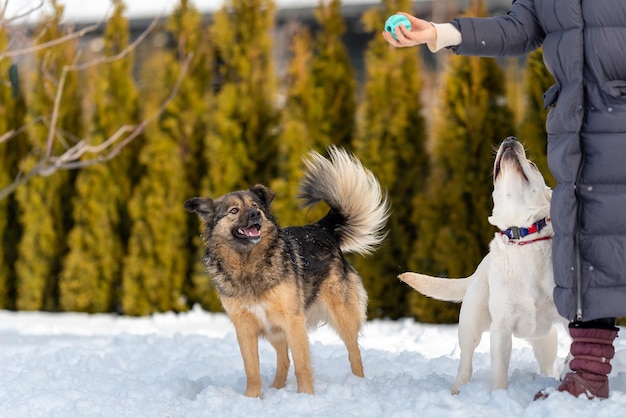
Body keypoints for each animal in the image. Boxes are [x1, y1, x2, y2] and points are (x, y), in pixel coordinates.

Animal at [183, 147, 388, 398]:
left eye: (255, 206)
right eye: (234, 211)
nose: (256, 216)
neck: (248, 263)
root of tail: (321, 228)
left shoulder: (293, 321)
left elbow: (302, 365)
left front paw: (306, 397)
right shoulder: (245, 328)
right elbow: (253, 370)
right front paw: (252, 398)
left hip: (341, 315)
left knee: (354, 352)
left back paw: (358, 383)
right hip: (275, 329)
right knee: (284, 360)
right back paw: (276, 388)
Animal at [400, 137, 564, 396]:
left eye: (533, 165)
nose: (510, 139)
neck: (523, 236)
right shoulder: (501, 328)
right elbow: (499, 373)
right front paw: (499, 396)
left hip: (545, 339)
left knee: (547, 364)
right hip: (470, 325)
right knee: (465, 363)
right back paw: (457, 390)